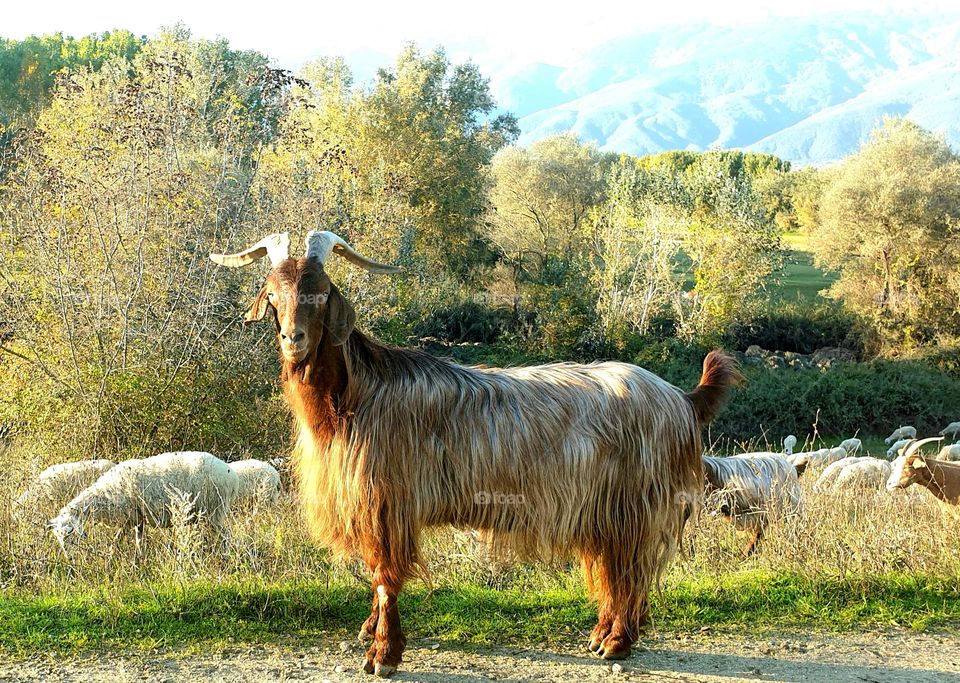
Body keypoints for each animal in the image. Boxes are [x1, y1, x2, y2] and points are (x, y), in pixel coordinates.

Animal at [210, 230, 740, 676]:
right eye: (272, 295)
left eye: (320, 294)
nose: (293, 340)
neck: (355, 396)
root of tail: (680, 399)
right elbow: (375, 576)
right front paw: (369, 634)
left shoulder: (387, 501)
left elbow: (384, 577)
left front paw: (384, 654)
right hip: (605, 511)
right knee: (614, 570)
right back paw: (601, 636)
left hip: (635, 503)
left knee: (631, 570)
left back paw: (617, 643)